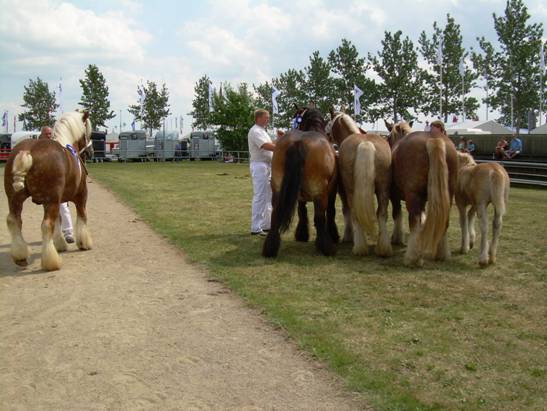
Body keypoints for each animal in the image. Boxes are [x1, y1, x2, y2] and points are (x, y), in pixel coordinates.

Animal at [326, 111, 394, 256]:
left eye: (328, 122)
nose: (327, 135)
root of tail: (365, 143)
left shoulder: (343, 192)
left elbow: (346, 211)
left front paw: (348, 236)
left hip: (351, 189)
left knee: (354, 213)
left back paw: (359, 247)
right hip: (383, 187)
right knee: (382, 213)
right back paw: (383, 248)